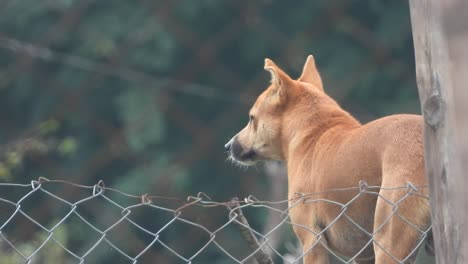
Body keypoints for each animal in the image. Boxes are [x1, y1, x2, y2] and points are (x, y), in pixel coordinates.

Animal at [225, 55, 434, 262]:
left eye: (252, 118)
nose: (228, 145)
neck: (315, 129)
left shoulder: (312, 242)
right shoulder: (363, 256)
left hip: (388, 241)